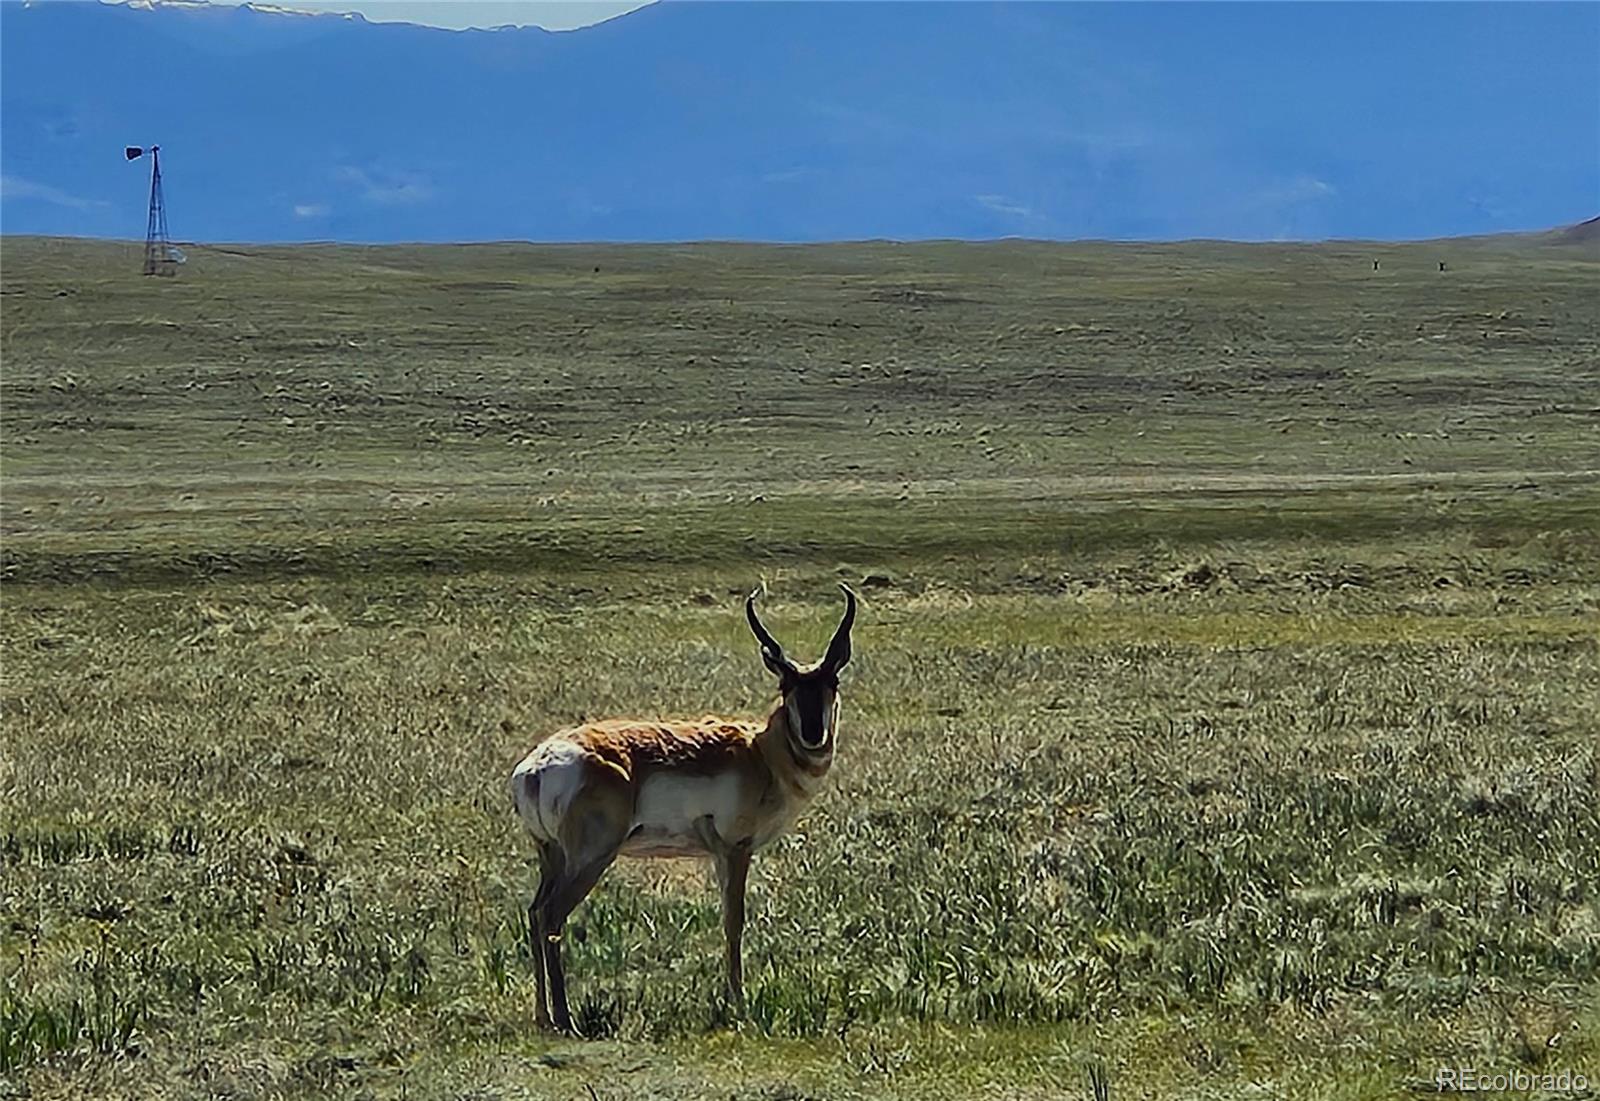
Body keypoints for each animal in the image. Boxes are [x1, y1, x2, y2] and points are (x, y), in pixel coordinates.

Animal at [512, 585, 864, 1030]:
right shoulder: (736, 849)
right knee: (551, 917)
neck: (760, 752)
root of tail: (537, 766)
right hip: (590, 859)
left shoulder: (718, 855)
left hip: (552, 857)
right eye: (785, 684)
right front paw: (739, 1005)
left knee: (534, 912)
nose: (814, 733)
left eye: (832, 679)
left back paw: (543, 1015)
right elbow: (734, 921)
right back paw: (565, 1018)